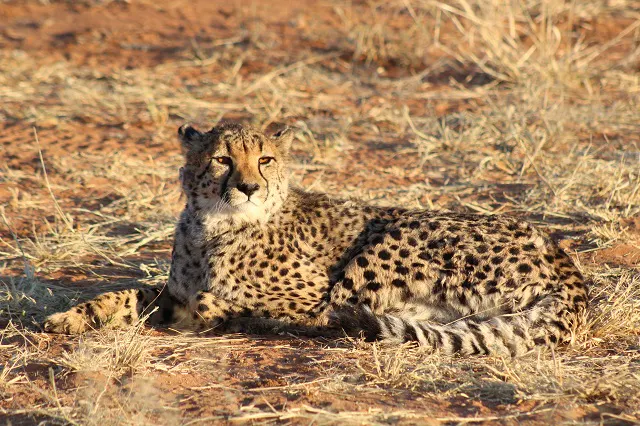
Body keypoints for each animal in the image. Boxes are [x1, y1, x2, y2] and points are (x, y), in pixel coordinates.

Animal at [44, 122, 588, 357]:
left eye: (265, 159)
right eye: (222, 159)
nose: (248, 186)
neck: (213, 225)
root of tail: (561, 256)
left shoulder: (310, 289)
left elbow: (288, 306)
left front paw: (214, 310)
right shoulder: (171, 290)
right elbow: (123, 295)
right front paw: (68, 318)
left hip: (383, 242)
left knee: (329, 317)